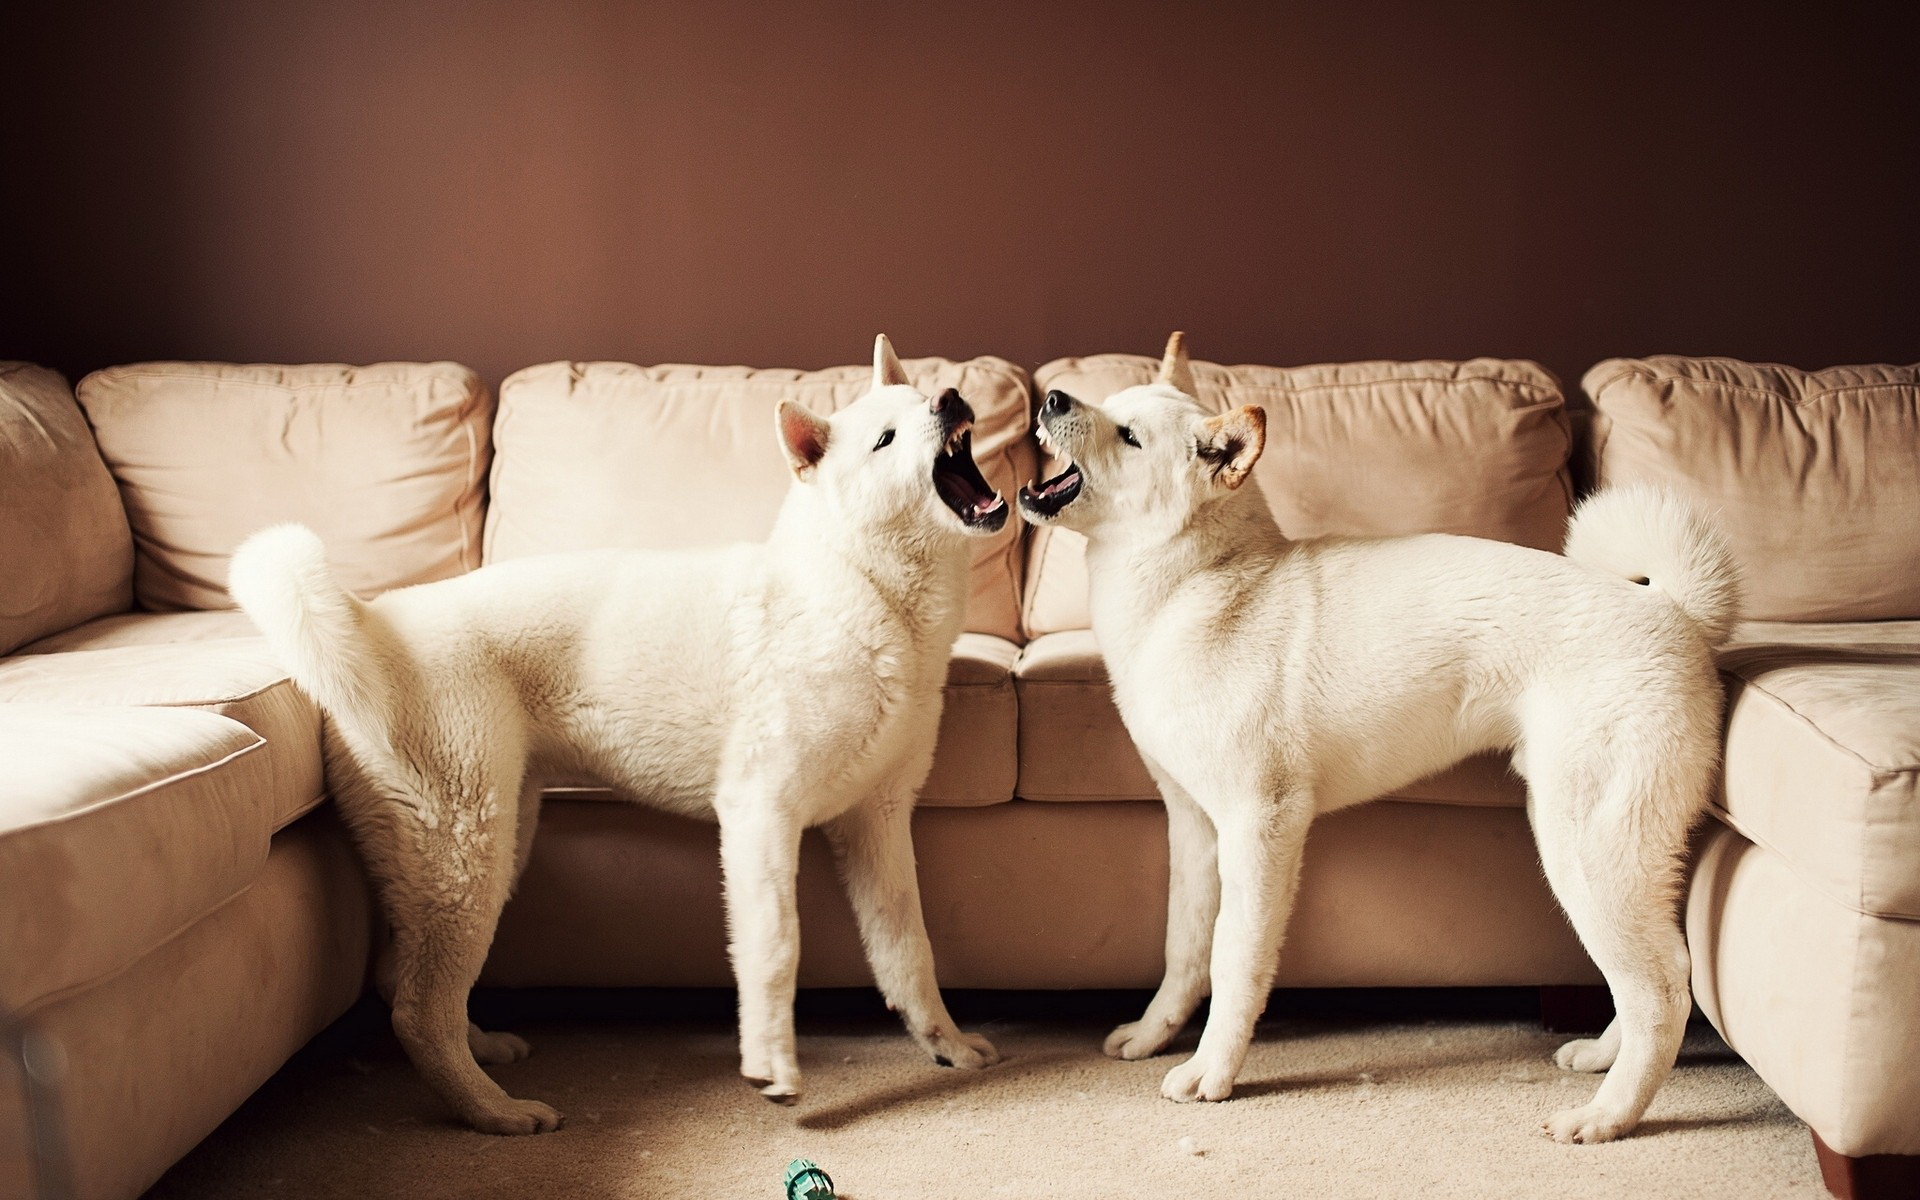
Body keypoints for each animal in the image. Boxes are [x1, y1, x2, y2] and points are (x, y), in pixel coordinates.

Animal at [230, 337, 1006, 1128]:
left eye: (924, 400)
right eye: (884, 439)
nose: (949, 398)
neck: (861, 590)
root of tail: (372, 621)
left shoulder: (878, 822)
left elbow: (909, 951)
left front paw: (944, 1045)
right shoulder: (760, 814)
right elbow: (775, 950)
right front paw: (773, 1067)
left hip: (482, 849)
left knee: (404, 983)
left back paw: (484, 1054)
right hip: (465, 853)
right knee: (419, 1009)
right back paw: (495, 1113)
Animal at [1021, 332, 1743, 1136]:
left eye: (1128, 435)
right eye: (1108, 405)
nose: (1051, 399)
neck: (1199, 587)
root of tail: (1675, 612)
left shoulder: (1260, 826)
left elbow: (1234, 963)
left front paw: (1214, 1073)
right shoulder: (1195, 827)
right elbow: (1184, 950)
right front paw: (1153, 1036)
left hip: (1585, 848)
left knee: (1662, 987)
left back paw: (1608, 1116)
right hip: (1606, 852)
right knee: (1661, 971)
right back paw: (1601, 1062)